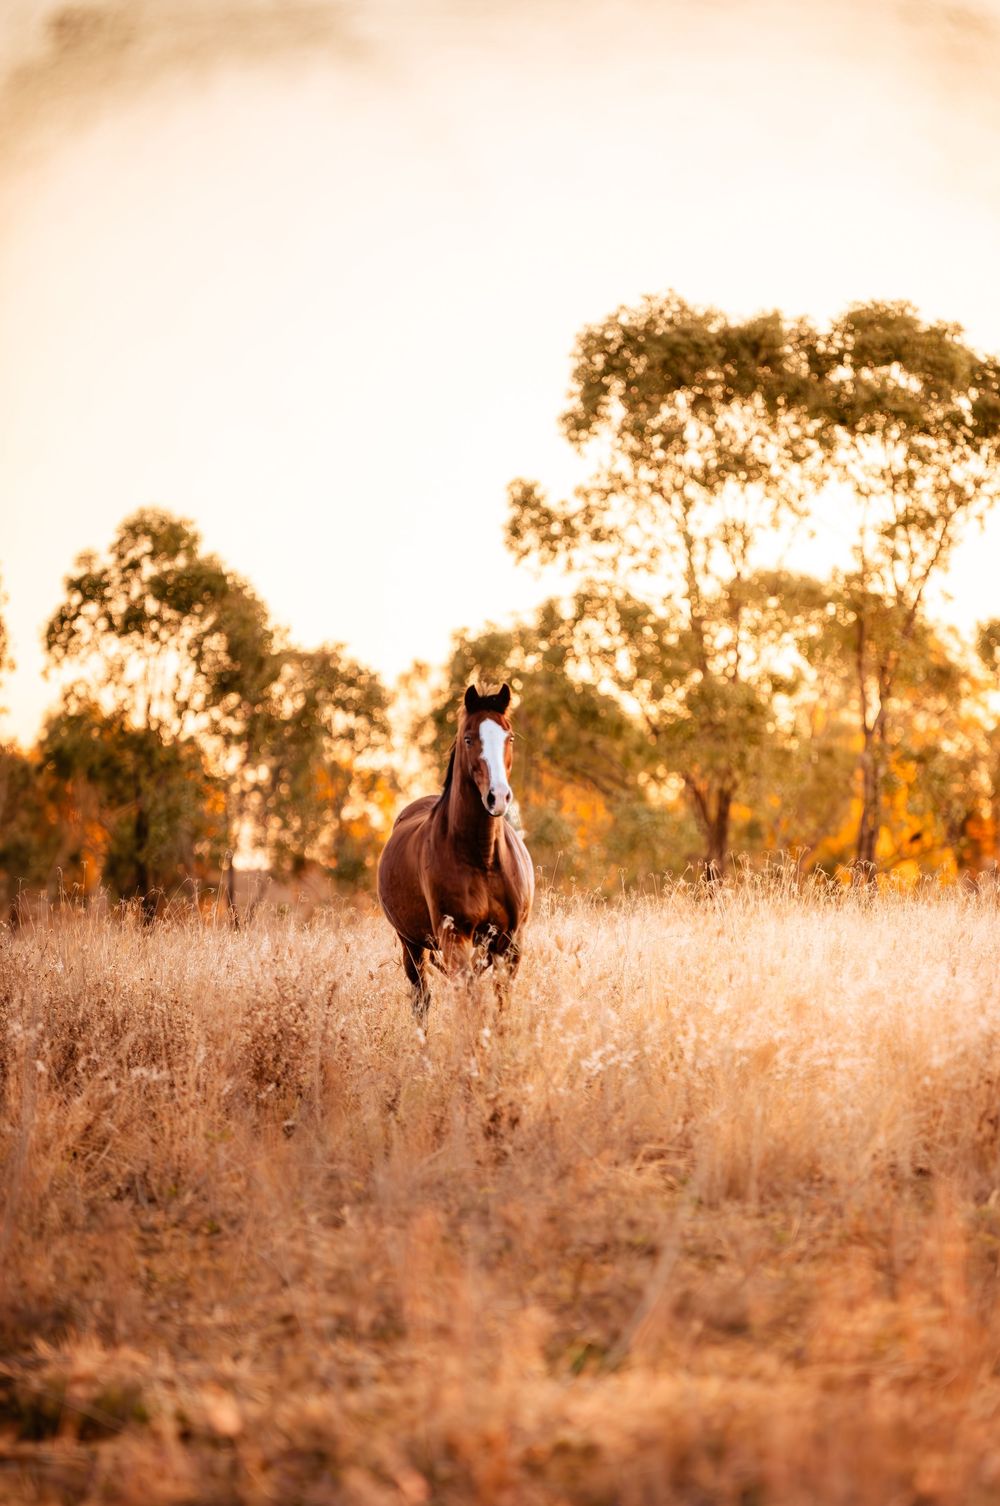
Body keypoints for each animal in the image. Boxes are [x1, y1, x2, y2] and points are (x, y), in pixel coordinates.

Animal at [377, 683, 534, 1020]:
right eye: (469, 738)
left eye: (509, 737)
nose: (498, 796)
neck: (483, 858)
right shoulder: (454, 937)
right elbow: (471, 1004)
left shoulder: (510, 942)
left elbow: (500, 1005)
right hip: (411, 944)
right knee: (421, 1000)